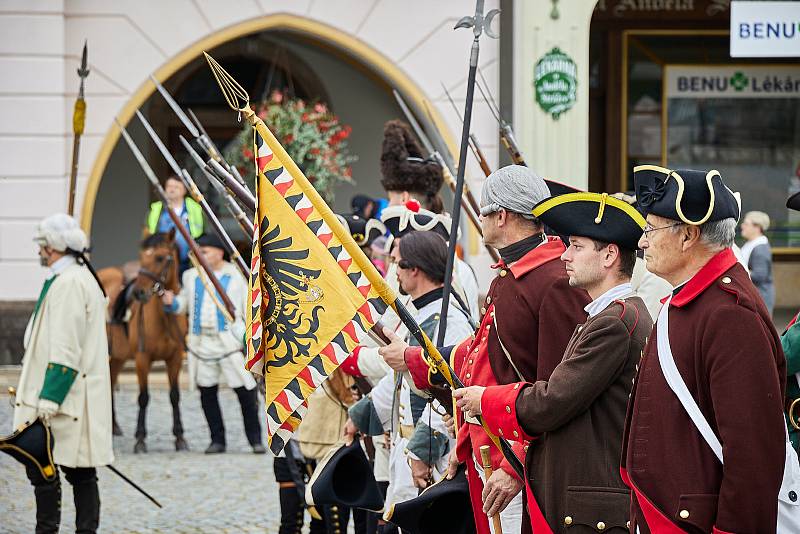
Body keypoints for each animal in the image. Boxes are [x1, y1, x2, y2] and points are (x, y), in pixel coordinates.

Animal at [98, 231, 188, 456]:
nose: (139, 292)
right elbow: (143, 397)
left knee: (111, 380)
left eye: (159, 257)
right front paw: (140, 439)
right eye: (141, 257)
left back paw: (114, 426)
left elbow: (174, 395)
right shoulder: (142, 359)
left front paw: (180, 438)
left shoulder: (175, 359)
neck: (164, 317)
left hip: (118, 357)